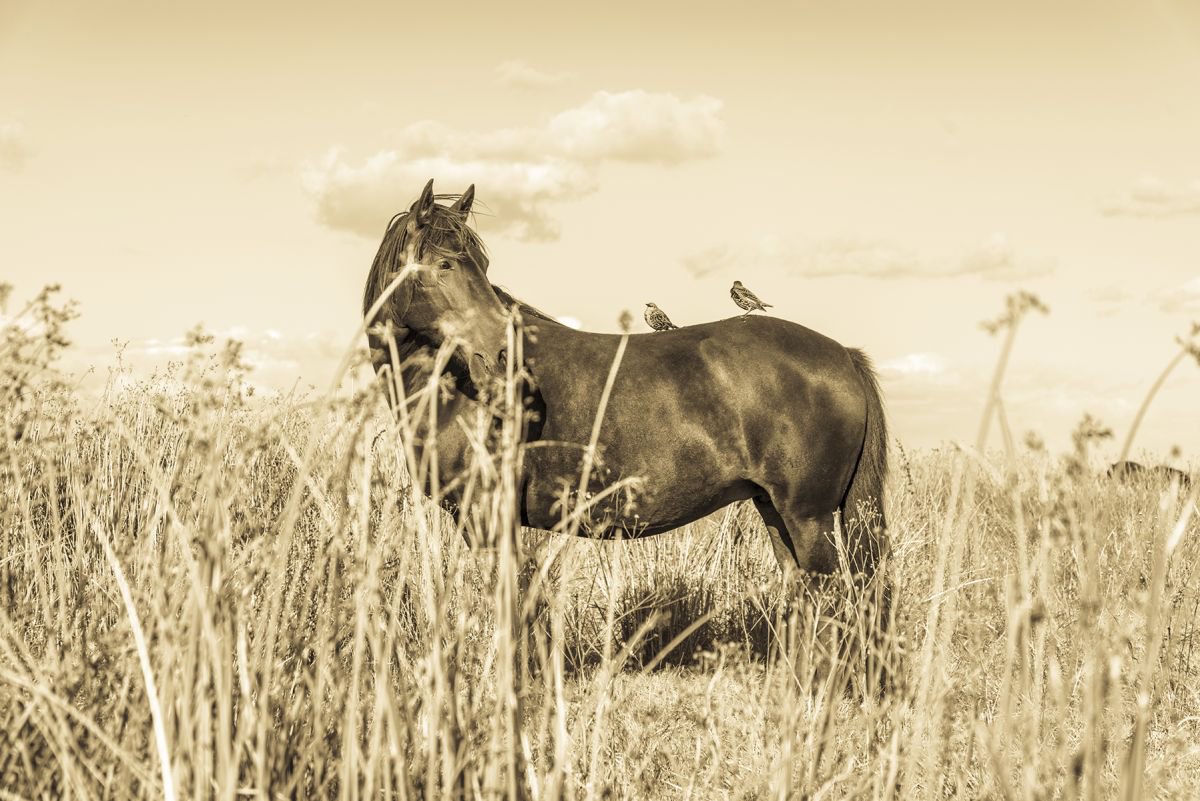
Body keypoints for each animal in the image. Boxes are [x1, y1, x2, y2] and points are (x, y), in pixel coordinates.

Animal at [362, 179, 889, 580]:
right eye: (443, 264)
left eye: (481, 265)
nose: (501, 355)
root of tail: (843, 355)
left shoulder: (488, 518)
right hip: (775, 509)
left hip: (808, 516)